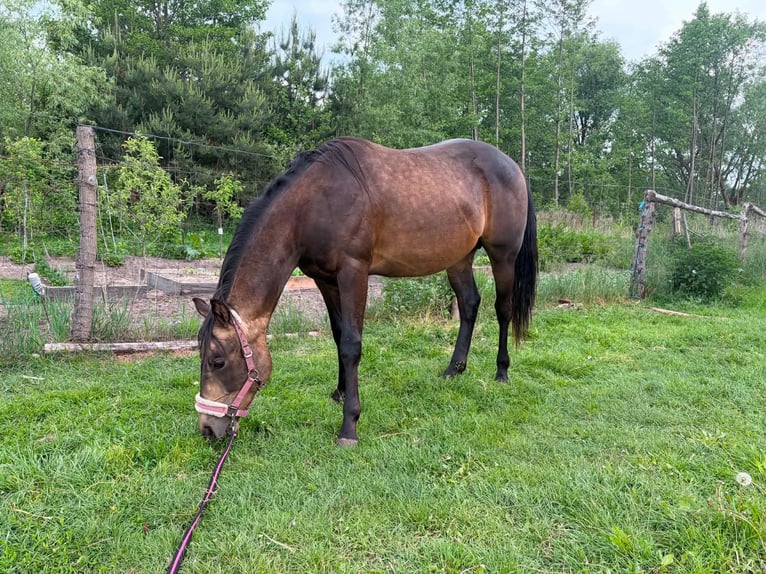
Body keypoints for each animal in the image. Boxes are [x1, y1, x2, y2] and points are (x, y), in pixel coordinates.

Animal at [192, 137, 538, 446]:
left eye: (217, 361)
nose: (208, 429)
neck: (314, 203)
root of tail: (514, 167)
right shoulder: (325, 280)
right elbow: (337, 334)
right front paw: (339, 392)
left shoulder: (354, 273)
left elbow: (351, 344)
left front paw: (349, 425)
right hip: (458, 259)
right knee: (469, 304)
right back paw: (454, 369)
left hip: (503, 256)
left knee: (502, 310)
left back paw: (501, 372)